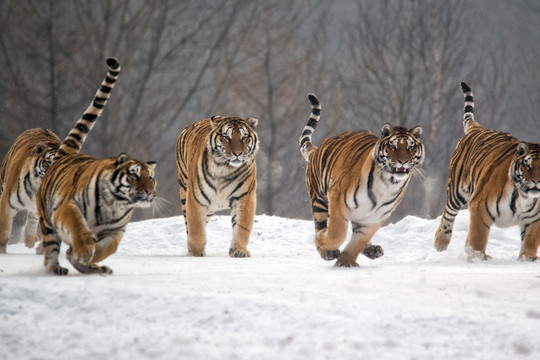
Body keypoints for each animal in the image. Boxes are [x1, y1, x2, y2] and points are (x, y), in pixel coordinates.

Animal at [36, 57, 156, 274]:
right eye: (134, 175)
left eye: (151, 178)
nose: (149, 192)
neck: (116, 204)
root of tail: (63, 158)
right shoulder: (69, 206)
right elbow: (78, 229)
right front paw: (84, 251)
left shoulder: (116, 230)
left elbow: (108, 248)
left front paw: (85, 256)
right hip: (48, 222)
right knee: (51, 249)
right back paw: (56, 268)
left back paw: (94, 268)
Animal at [176, 114, 258, 256]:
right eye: (227, 137)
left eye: (244, 137)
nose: (237, 154)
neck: (225, 168)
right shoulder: (195, 198)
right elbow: (196, 228)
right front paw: (196, 252)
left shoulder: (245, 196)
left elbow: (242, 227)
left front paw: (239, 250)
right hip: (184, 192)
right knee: (188, 224)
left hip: (210, 208)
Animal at [302, 93, 424, 268]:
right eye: (393, 146)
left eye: (410, 147)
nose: (402, 161)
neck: (388, 183)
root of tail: (317, 149)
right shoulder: (338, 201)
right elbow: (337, 233)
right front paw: (323, 243)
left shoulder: (375, 217)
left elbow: (358, 241)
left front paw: (346, 262)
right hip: (319, 199)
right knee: (320, 225)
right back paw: (326, 250)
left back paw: (373, 250)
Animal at [434, 82, 540, 260]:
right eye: (528, 165)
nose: (537, 181)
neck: (524, 197)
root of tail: (478, 128)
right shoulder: (480, 207)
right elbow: (479, 236)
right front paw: (478, 258)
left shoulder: (535, 219)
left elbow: (530, 240)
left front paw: (527, 259)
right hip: (457, 192)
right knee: (448, 214)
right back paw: (440, 242)